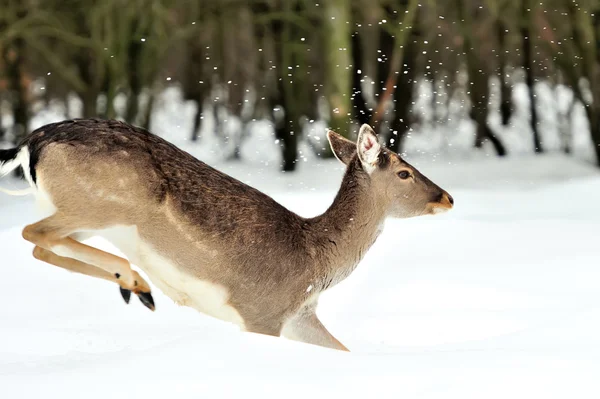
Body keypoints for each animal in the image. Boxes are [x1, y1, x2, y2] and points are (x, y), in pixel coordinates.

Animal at [0, 120, 450, 352]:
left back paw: (137, 288)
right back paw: (135, 282)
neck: (314, 262)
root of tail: (30, 142)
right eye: (404, 172)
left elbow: (341, 348)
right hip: (102, 204)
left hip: (88, 214)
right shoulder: (261, 311)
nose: (446, 197)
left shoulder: (299, 315)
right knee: (31, 231)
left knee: (41, 246)